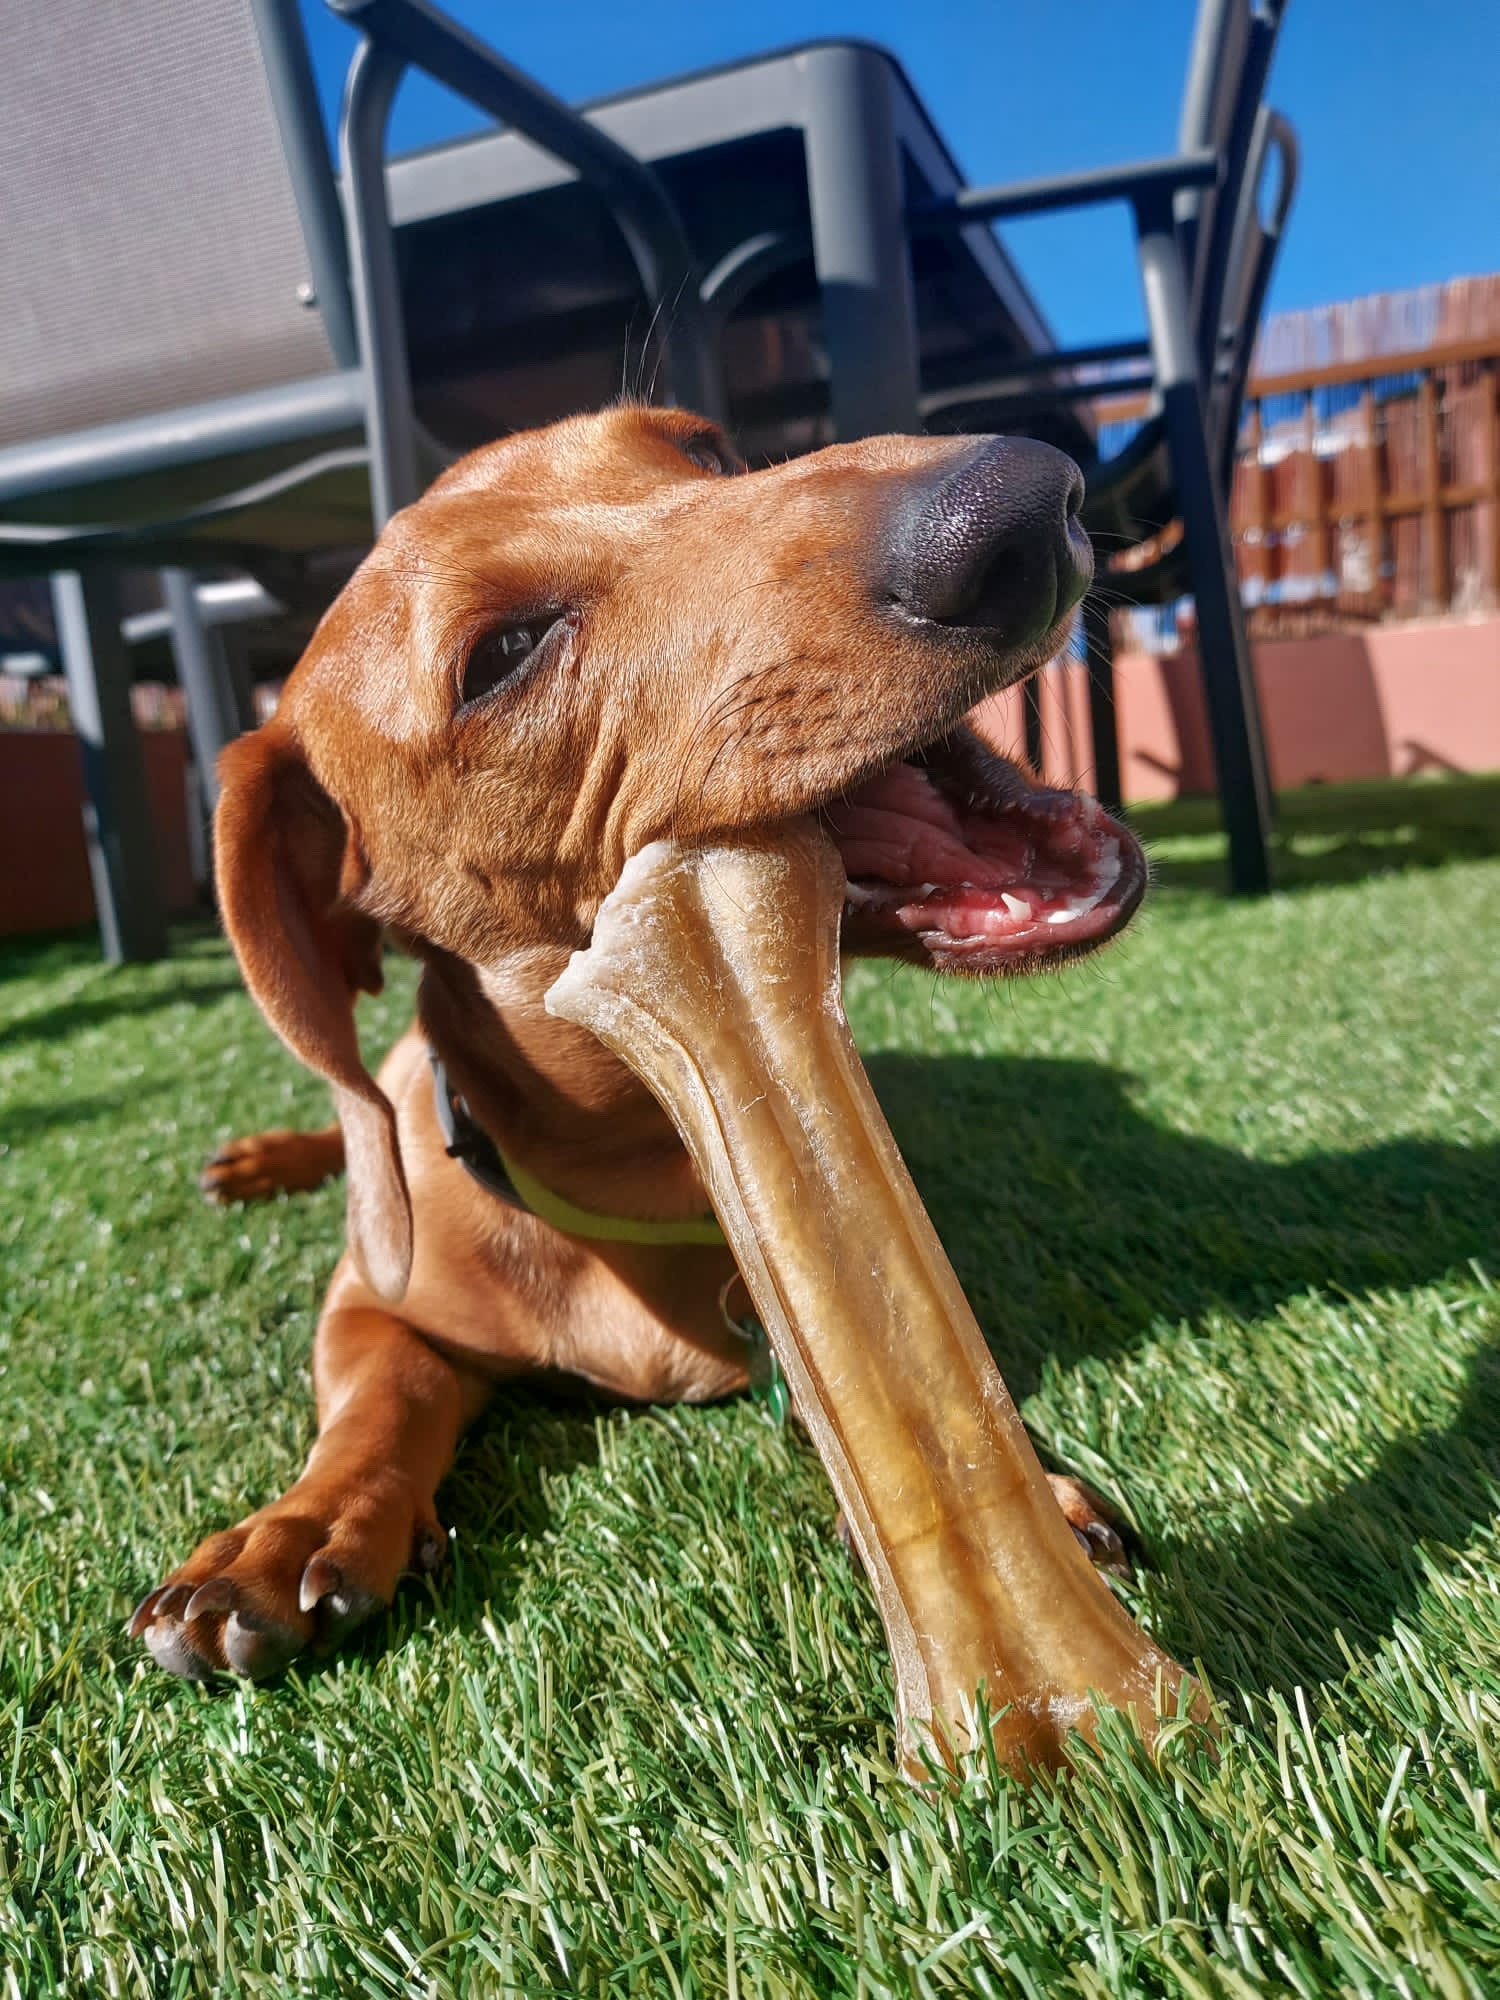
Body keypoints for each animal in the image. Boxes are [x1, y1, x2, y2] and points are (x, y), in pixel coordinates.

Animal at [131, 405, 1146, 1680]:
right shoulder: (369, 1299)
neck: (627, 1173)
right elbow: (384, 1389)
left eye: (703, 449)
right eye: (502, 654)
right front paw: (296, 1525)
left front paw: (1030, 1487)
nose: (1028, 498)